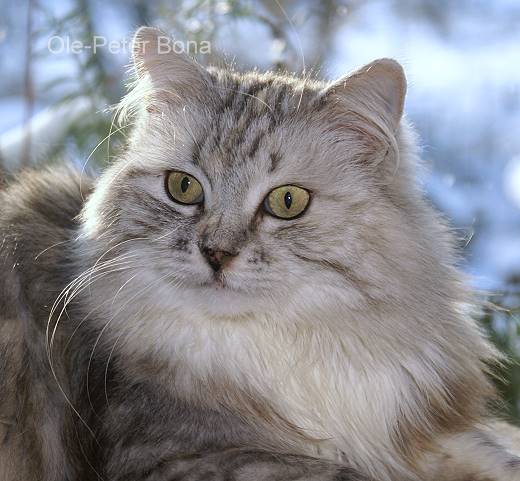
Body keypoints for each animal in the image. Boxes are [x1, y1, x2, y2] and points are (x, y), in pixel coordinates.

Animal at [1, 25, 520, 480]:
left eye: (287, 202)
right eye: (183, 188)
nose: (215, 253)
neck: (284, 352)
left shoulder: (422, 434)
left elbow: (492, 456)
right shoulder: (172, 453)